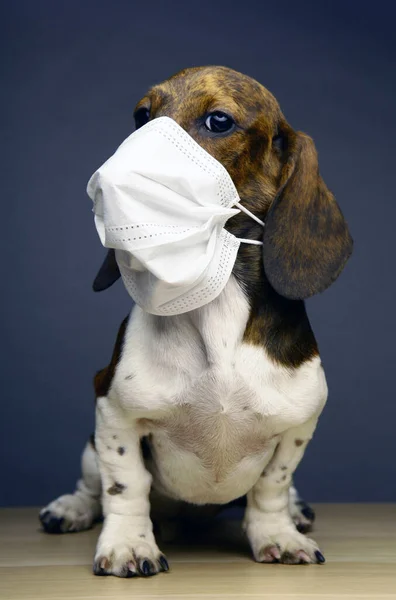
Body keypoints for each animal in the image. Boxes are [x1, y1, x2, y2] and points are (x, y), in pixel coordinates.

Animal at [38, 65, 352, 576]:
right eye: (141, 115)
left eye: (218, 120)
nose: (105, 182)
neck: (219, 310)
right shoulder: (113, 411)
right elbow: (126, 483)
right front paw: (129, 544)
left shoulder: (298, 425)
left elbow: (272, 486)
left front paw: (277, 533)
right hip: (89, 447)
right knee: (92, 485)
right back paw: (71, 508)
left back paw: (297, 510)